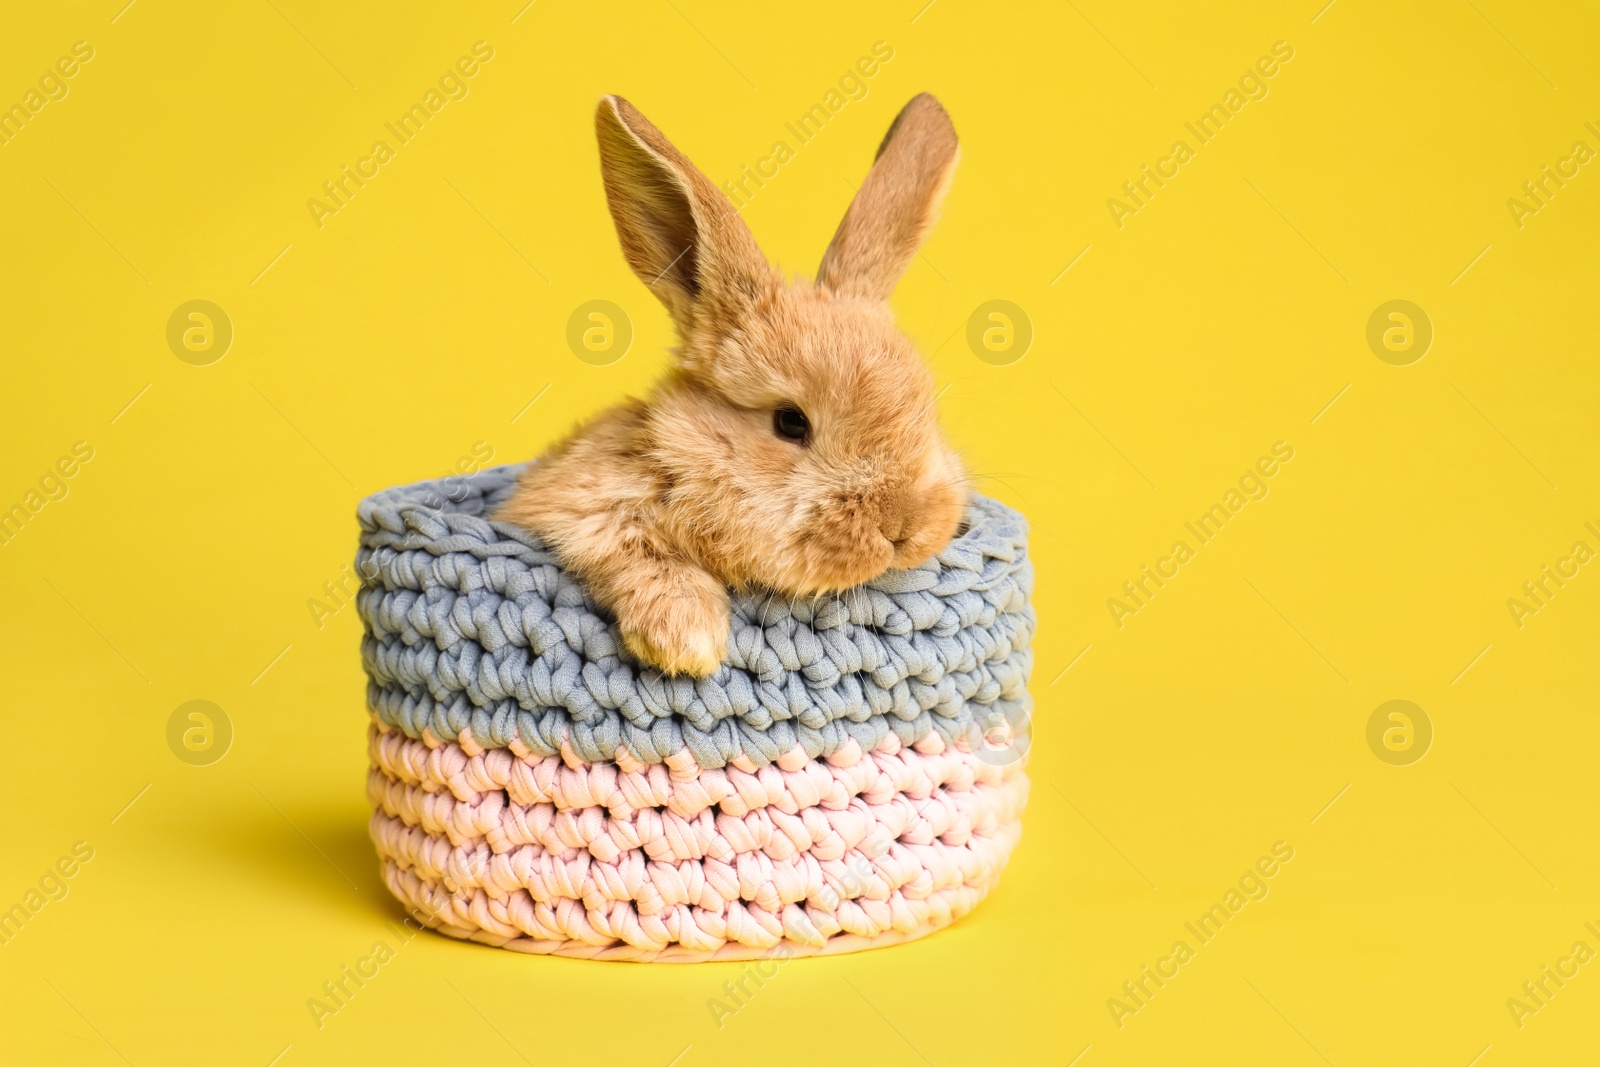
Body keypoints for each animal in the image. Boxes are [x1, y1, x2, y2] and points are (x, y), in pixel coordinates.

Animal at [499, 93, 966, 675]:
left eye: (927, 411)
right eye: (790, 422)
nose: (903, 528)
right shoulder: (576, 507)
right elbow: (633, 546)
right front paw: (687, 641)